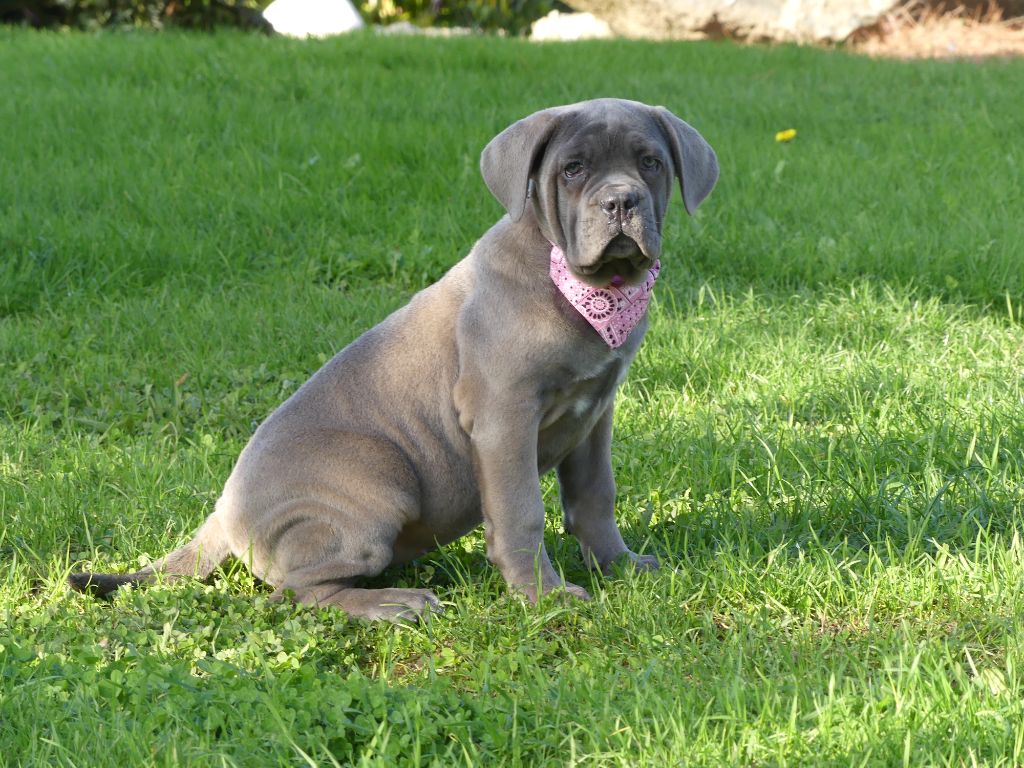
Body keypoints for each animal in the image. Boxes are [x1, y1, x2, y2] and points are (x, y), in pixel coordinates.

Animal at [70, 97, 720, 626]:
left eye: (651, 163)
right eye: (574, 169)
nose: (621, 201)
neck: (581, 284)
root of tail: (222, 512)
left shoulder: (594, 412)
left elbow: (595, 498)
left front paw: (621, 565)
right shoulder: (505, 418)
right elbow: (522, 513)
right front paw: (544, 597)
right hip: (379, 481)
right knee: (294, 594)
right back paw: (392, 604)